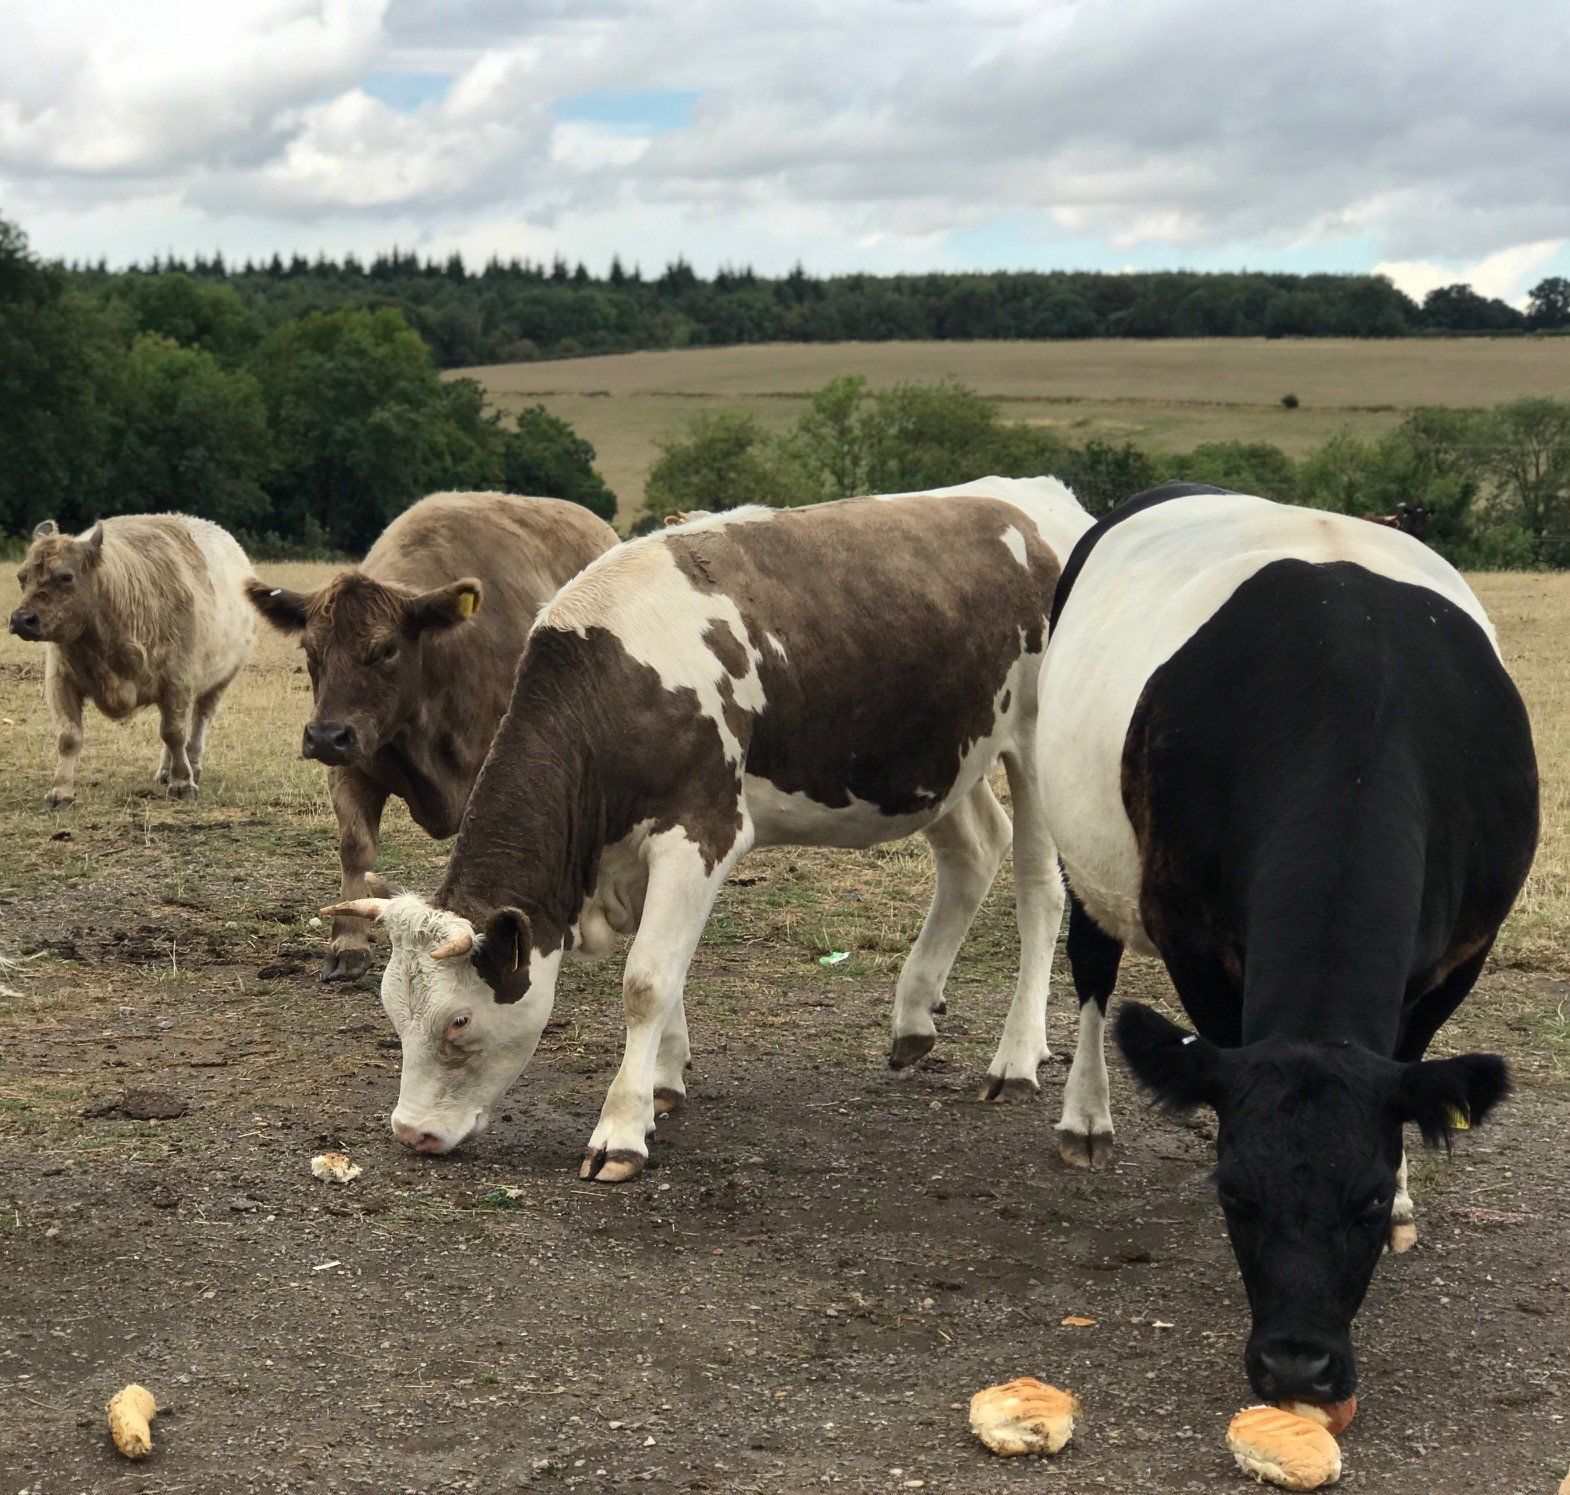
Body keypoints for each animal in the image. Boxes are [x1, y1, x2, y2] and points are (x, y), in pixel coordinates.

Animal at [9, 514, 255, 807]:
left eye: (66, 576)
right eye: (22, 577)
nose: (22, 619)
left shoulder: (178, 681)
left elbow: (174, 733)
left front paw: (183, 783)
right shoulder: (60, 680)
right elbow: (69, 736)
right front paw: (61, 791)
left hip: (219, 680)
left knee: (198, 720)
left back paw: (191, 764)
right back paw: (166, 771)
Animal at [246, 492, 618, 981]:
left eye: (386, 649)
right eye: (310, 651)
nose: (326, 736)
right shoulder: (352, 765)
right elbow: (356, 849)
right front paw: (348, 942)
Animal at [320, 478, 1095, 1177]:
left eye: (458, 1021)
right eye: (392, 1011)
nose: (411, 1133)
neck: (616, 679)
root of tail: (1039, 494)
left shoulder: (700, 831)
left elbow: (646, 980)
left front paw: (620, 1130)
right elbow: (669, 976)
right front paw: (663, 1083)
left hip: (1032, 744)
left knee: (1038, 890)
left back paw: (1017, 1058)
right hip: (939, 760)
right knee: (974, 852)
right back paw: (913, 1018)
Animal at [1034, 482, 1538, 1405]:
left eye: (1364, 1201)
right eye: (1236, 1195)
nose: (1297, 1363)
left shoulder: (1467, 949)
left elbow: (1410, 1062)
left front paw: (1408, 1191)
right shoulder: (1192, 934)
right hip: (1084, 851)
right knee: (1090, 963)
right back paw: (1085, 1116)